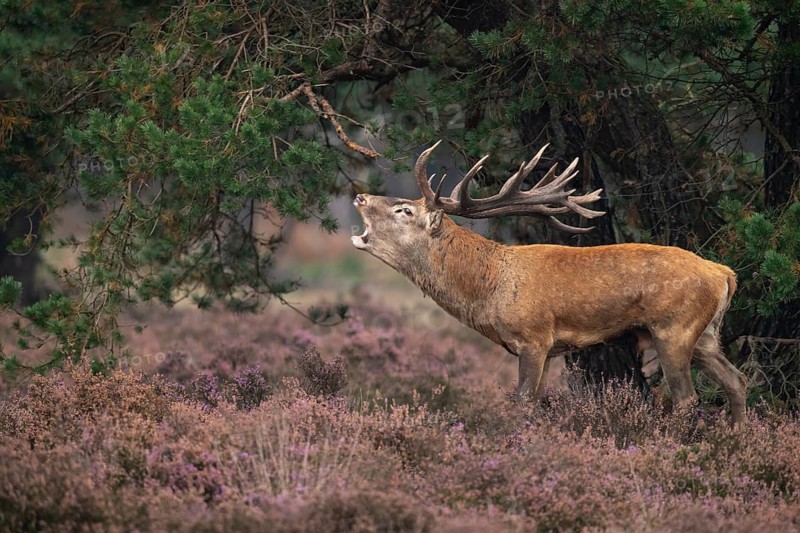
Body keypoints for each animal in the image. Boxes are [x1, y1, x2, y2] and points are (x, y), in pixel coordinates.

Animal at [351, 141, 748, 425]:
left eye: (405, 210)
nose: (360, 196)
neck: (489, 289)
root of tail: (724, 274)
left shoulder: (534, 336)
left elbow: (523, 403)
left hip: (673, 328)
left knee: (686, 398)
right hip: (705, 336)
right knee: (736, 381)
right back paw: (736, 440)